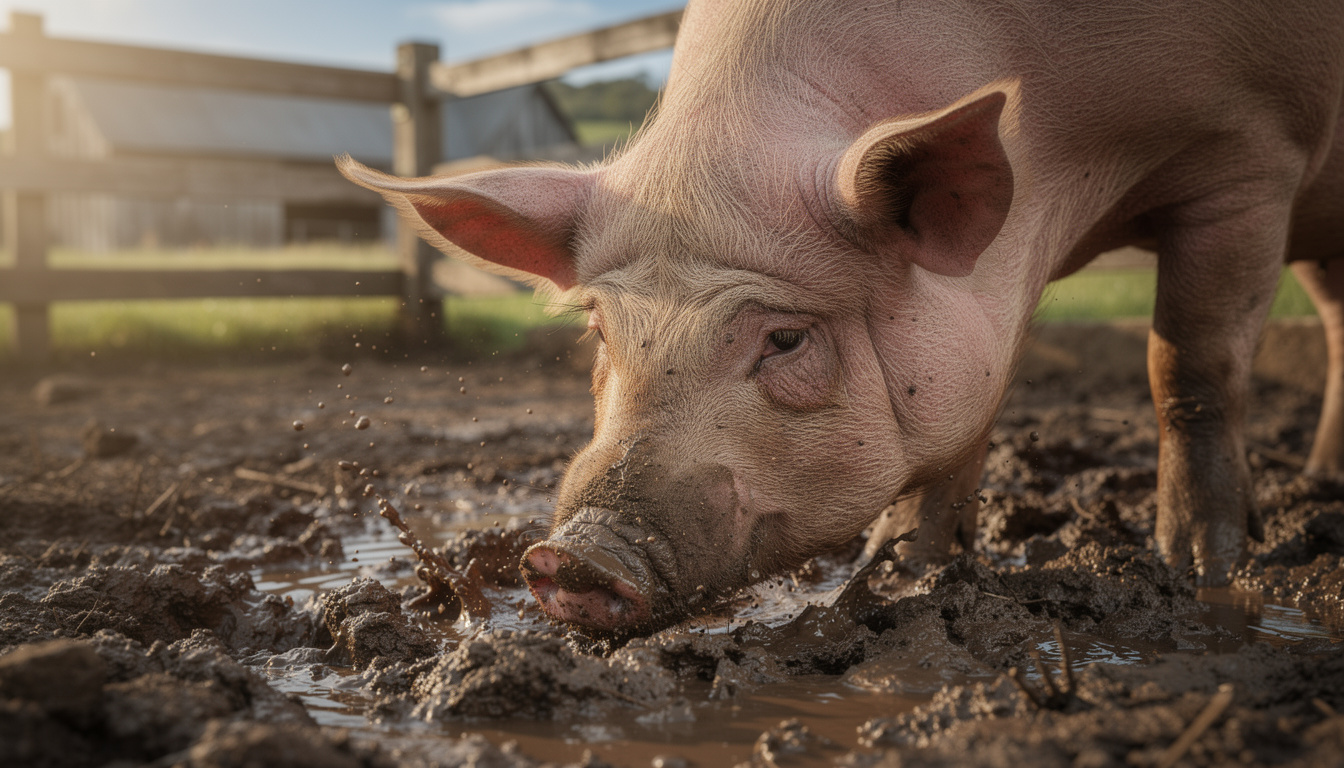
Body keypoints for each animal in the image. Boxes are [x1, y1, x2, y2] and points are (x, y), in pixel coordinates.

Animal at [341, 0, 1344, 635]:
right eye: (600, 335)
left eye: (785, 338)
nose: (572, 560)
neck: (1067, 192)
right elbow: (970, 419)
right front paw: (897, 574)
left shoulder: (1251, 152)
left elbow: (1191, 367)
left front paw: (1199, 572)